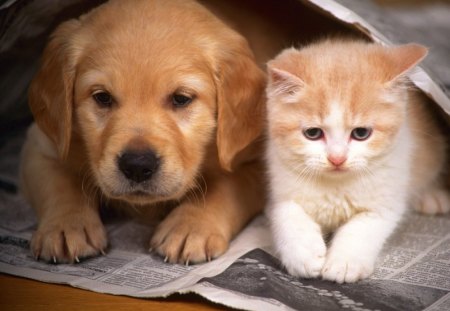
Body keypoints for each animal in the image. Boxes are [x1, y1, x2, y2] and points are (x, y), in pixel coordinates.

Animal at [21, 0, 266, 264]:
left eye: (181, 99)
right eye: (102, 97)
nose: (137, 166)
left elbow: (227, 186)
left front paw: (191, 227)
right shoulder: (41, 146)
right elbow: (59, 184)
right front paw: (67, 226)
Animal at [266, 38, 448, 282]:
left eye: (361, 133)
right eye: (313, 133)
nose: (337, 158)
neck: (335, 185)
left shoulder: (387, 199)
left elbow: (363, 227)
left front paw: (344, 262)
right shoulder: (278, 178)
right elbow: (285, 211)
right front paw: (302, 253)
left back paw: (432, 197)